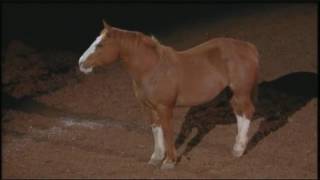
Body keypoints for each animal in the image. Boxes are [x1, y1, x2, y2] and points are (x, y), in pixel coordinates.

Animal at [78, 20, 260, 169]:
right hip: (234, 92)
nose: (81, 64)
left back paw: (239, 151)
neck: (152, 69)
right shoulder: (149, 107)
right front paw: (156, 158)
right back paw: (236, 148)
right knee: (240, 113)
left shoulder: (164, 107)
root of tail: (249, 47)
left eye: (100, 45)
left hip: (241, 91)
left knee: (247, 112)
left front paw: (169, 162)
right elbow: (156, 129)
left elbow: (167, 131)